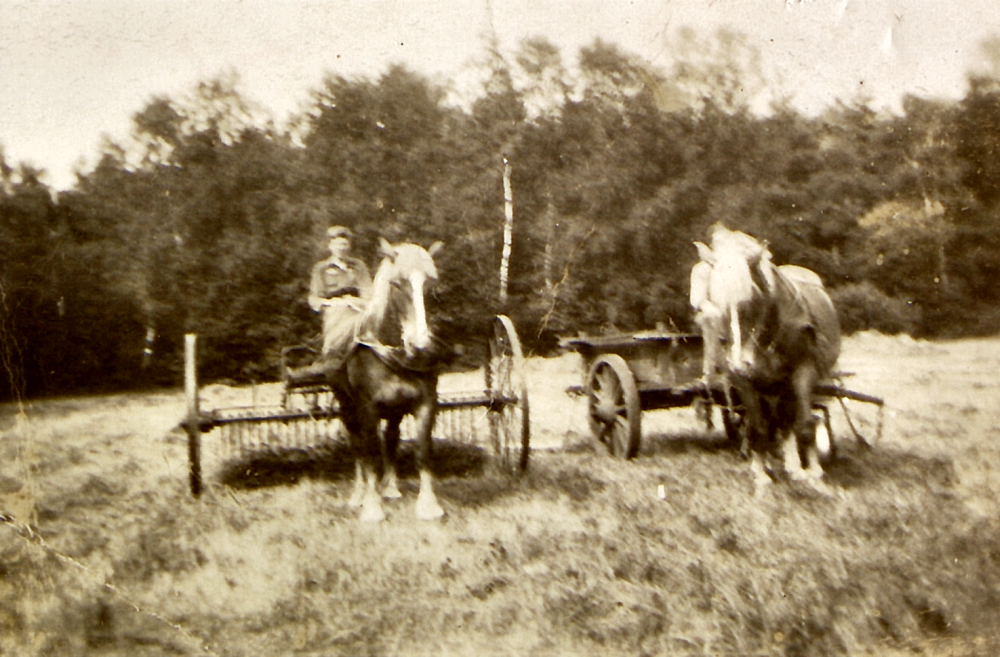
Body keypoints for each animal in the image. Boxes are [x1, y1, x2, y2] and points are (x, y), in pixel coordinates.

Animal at [328, 238, 446, 520]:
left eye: (431, 282)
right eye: (397, 283)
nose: (422, 346)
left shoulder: (426, 403)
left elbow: (422, 450)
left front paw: (428, 505)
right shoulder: (366, 408)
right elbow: (369, 451)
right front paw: (371, 507)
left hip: (394, 409)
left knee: (390, 439)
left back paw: (391, 488)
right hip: (346, 406)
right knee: (357, 445)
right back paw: (358, 494)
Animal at [692, 226, 840, 492]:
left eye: (751, 300)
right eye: (714, 301)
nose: (739, 363)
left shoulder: (803, 371)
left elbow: (804, 424)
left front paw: (811, 475)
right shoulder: (744, 382)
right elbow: (759, 427)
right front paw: (762, 477)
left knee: (791, 422)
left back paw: (796, 465)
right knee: (769, 424)